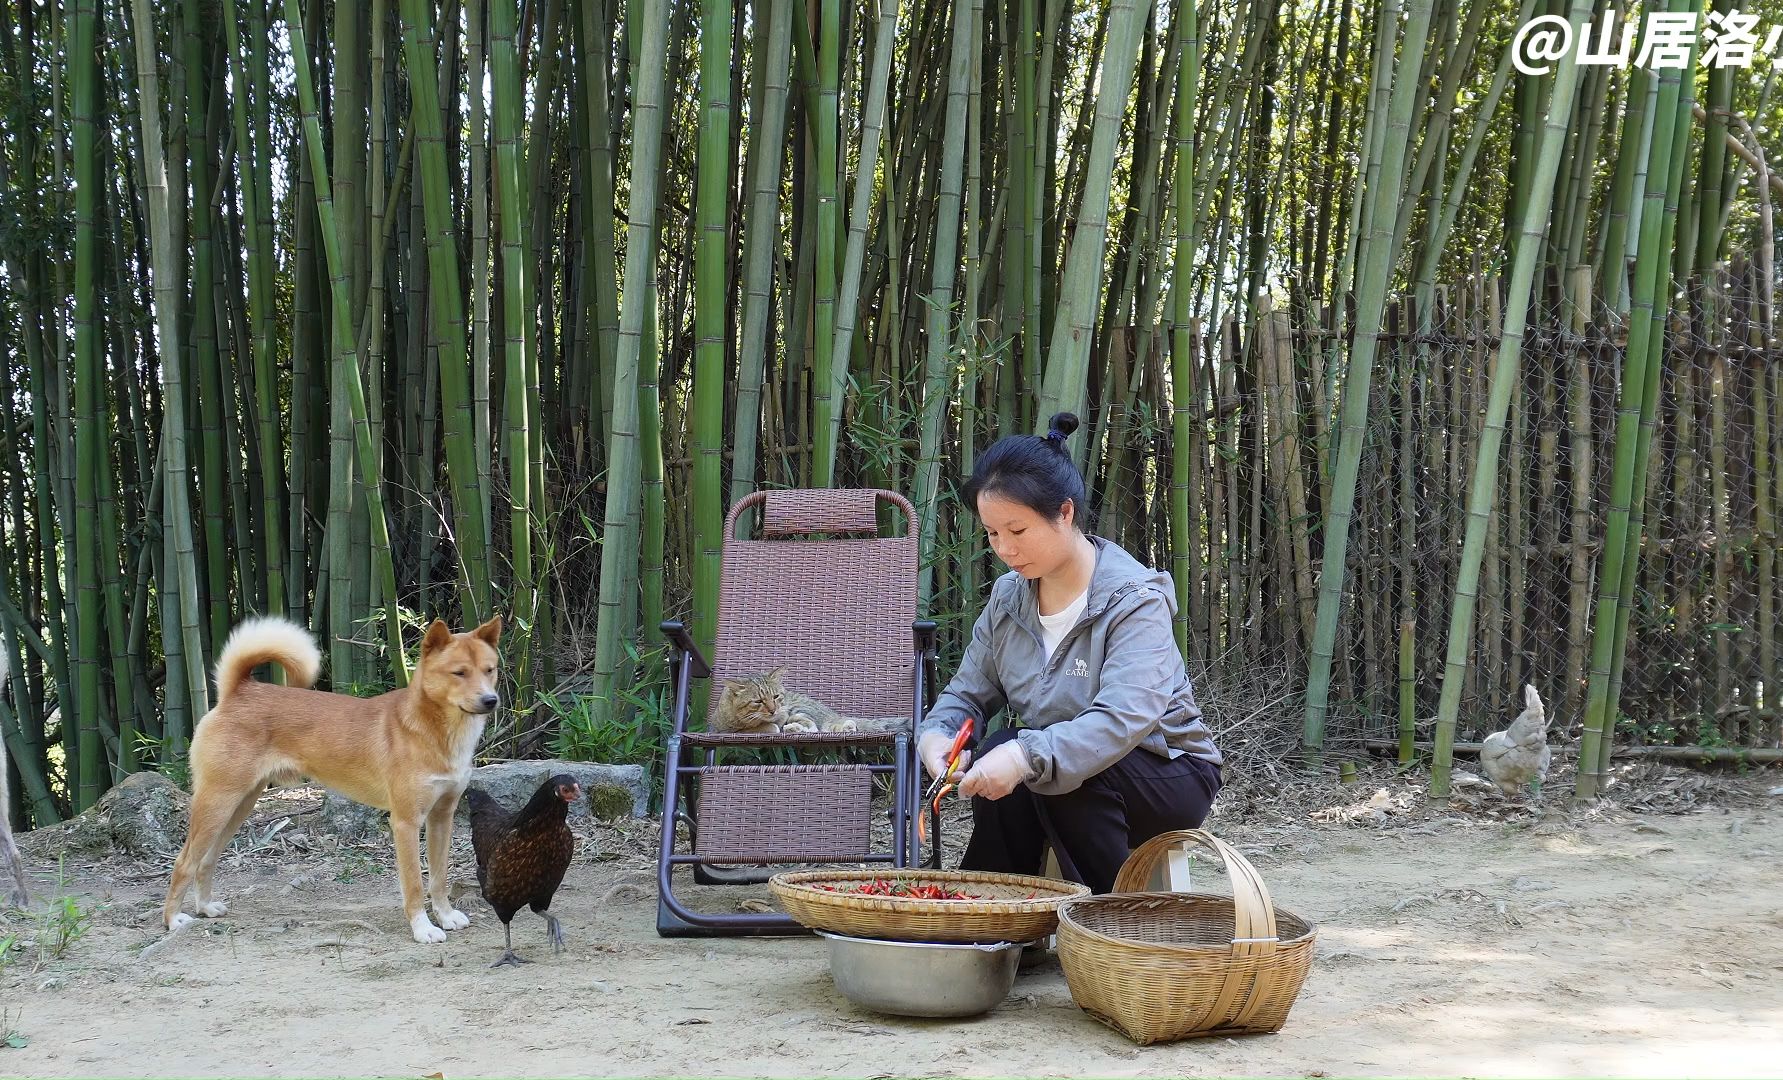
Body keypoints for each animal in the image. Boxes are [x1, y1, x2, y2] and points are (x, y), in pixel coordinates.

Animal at [162, 616, 502, 948]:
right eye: (459, 673)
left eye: (490, 670)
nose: (491, 700)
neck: (433, 730)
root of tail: (237, 691)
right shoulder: (406, 823)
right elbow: (415, 885)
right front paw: (423, 928)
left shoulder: (441, 817)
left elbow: (439, 878)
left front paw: (445, 916)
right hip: (217, 804)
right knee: (183, 862)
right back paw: (173, 920)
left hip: (238, 807)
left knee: (206, 861)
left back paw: (205, 907)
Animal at [709, 673, 905, 741]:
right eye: (758, 701)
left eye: (776, 696)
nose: (773, 710)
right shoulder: (721, 730)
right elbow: (769, 727)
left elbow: (775, 725)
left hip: (799, 710)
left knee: (817, 727)